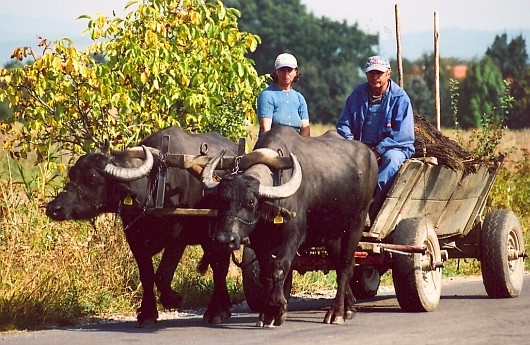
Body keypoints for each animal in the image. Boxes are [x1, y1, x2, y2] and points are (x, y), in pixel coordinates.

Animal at [46, 125, 236, 326]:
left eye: (92, 178)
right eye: (72, 174)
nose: (54, 208)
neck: (155, 186)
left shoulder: (177, 238)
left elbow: (162, 274)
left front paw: (173, 299)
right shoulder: (135, 238)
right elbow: (146, 275)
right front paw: (147, 314)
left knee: (220, 268)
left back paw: (216, 311)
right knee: (218, 266)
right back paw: (224, 307)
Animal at [200, 125, 378, 326]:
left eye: (250, 201)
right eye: (221, 200)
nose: (225, 239)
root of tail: (371, 156)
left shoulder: (293, 236)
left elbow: (280, 267)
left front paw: (277, 309)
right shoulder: (259, 241)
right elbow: (267, 273)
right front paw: (266, 313)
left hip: (357, 224)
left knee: (346, 266)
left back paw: (337, 313)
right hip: (333, 234)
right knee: (341, 265)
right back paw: (349, 308)